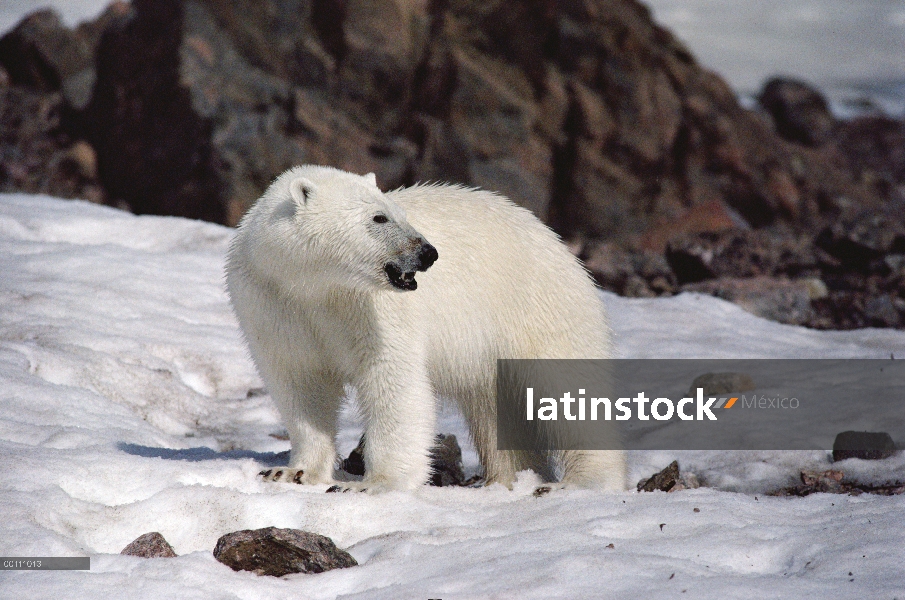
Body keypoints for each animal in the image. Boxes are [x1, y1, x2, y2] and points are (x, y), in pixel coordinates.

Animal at [223, 165, 624, 492]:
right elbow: (300, 384)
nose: (428, 252)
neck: (314, 286)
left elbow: (392, 379)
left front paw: (371, 484)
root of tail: (561, 247)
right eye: (379, 217)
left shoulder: (371, 310)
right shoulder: (272, 304)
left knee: (566, 387)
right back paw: (509, 478)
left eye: (398, 213)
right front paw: (292, 472)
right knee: (495, 410)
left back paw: (579, 481)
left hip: (539, 307)